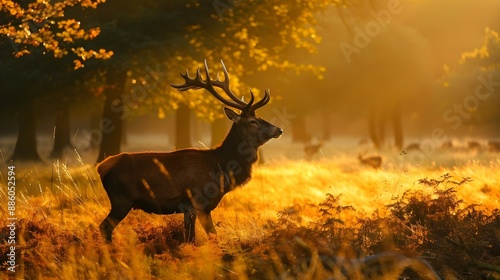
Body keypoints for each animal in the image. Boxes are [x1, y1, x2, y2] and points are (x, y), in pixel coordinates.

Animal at [97, 60, 282, 243]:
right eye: (252, 121)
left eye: (259, 118)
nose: (278, 129)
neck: (219, 167)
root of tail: (101, 167)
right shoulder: (193, 201)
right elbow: (192, 239)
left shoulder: (205, 208)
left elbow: (211, 235)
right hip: (121, 199)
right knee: (104, 226)